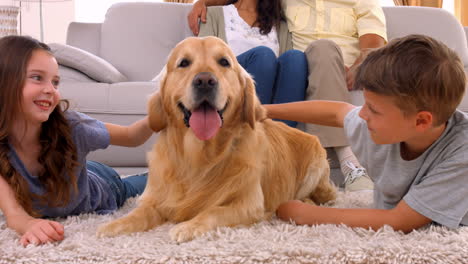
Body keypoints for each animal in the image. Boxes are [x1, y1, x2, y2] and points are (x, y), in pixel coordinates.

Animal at [97, 36, 334, 242]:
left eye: (224, 62)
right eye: (184, 63)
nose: (205, 81)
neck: (200, 156)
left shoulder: (249, 203)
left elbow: (212, 210)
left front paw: (187, 227)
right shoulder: (156, 197)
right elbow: (140, 212)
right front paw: (114, 224)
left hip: (316, 163)